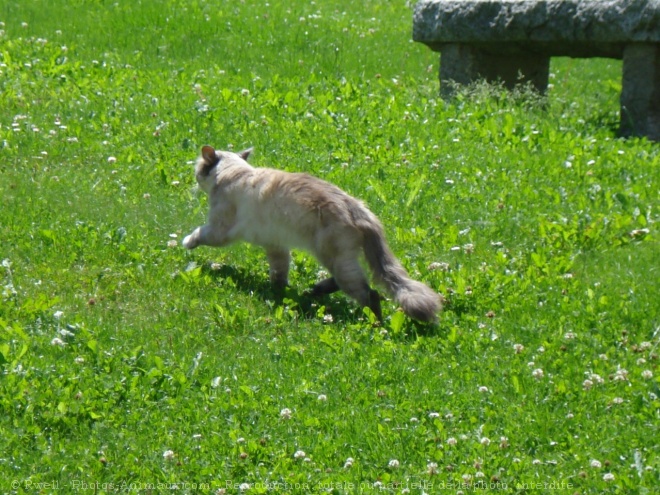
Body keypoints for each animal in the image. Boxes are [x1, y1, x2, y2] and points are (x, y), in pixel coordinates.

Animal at [182, 144, 444, 322]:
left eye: (198, 171)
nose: (194, 180)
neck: (235, 172)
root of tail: (359, 210)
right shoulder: (275, 246)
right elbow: (279, 273)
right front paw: (278, 292)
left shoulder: (219, 231)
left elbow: (198, 234)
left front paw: (184, 243)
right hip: (337, 259)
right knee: (354, 282)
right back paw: (314, 291)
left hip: (333, 257)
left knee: (369, 293)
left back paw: (374, 325)